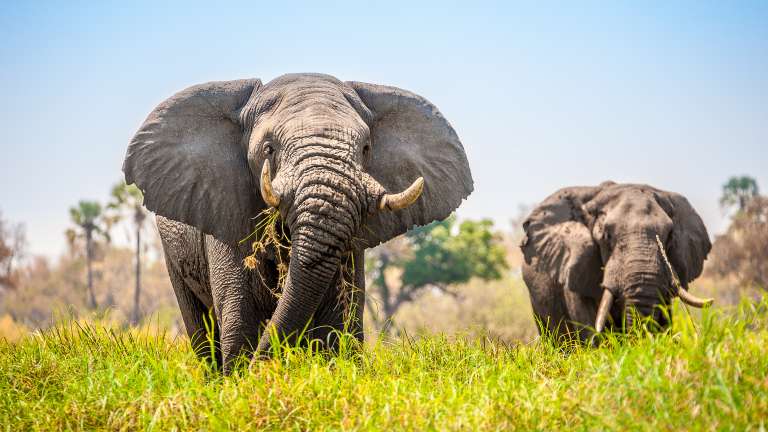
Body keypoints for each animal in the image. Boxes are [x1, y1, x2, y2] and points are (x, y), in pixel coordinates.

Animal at [122, 73, 472, 371]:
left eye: (366, 148)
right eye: (268, 149)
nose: (262, 369)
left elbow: (337, 326)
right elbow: (240, 320)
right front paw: (240, 383)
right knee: (202, 331)